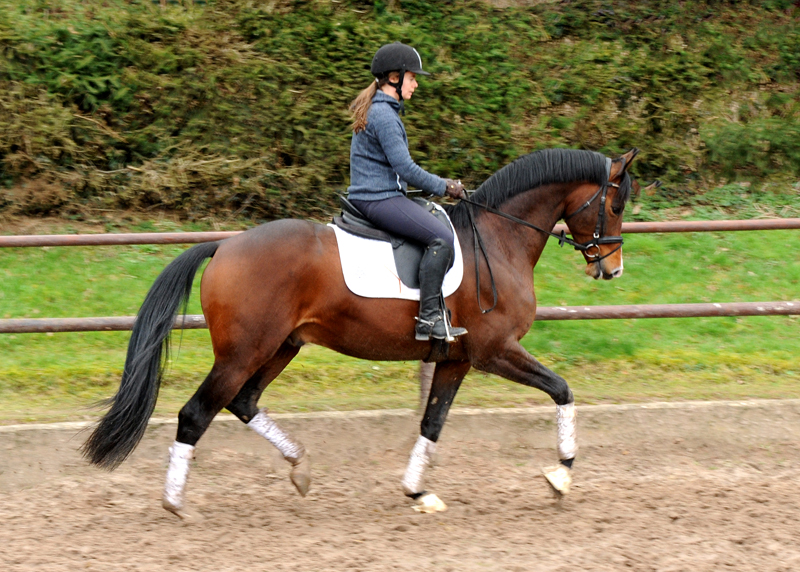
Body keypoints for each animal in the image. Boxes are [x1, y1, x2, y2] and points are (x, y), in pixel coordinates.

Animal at [84, 146, 640, 512]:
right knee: (196, 413)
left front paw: (418, 491)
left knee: (243, 402)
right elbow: (562, 389)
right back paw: (176, 503)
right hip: (244, 351)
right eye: (615, 205)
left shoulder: (457, 361)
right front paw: (560, 476)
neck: (499, 238)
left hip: (281, 346)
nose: (612, 270)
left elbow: (432, 423)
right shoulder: (494, 351)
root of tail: (224, 246)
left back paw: (300, 467)